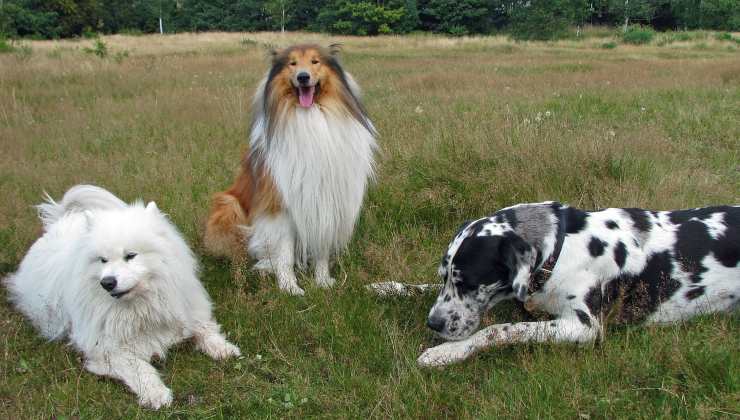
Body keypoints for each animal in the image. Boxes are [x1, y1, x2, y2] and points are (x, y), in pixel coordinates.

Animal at [5, 185, 240, 408]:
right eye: (103, 260)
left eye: (130, 255)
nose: (107, 282)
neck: (142, 306)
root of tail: (60, 222)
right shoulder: (109, 350)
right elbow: (140, 368)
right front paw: (156, 394)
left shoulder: (187, 310)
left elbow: (205, 329)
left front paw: (224, 348)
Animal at [414, 202, 736, 366]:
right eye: (444, 276)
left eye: (468, 283)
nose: (433, 323)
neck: (561, 248)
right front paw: (400, 288)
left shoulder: (583, 326)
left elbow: (500, 330)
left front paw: (448, 352)